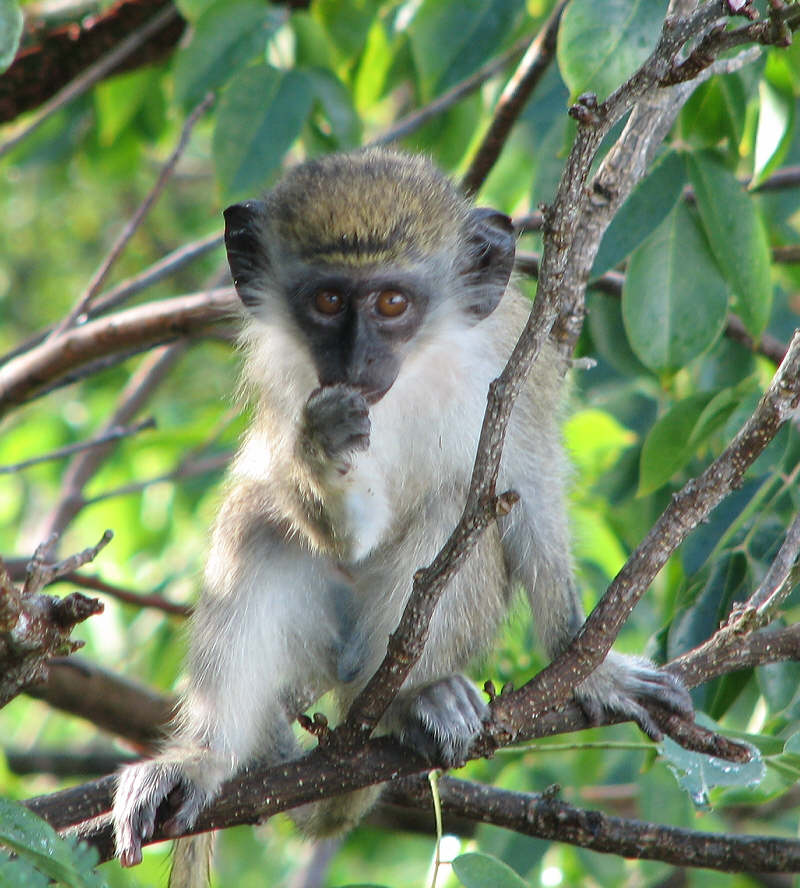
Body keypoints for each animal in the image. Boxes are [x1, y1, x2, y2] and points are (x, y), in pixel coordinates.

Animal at [113, 148, 693, 877]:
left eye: (392, 302)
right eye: (328, 300)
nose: (357, 360)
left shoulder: (509, 366)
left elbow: (527, 490)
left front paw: (586, 663)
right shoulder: (291, 382)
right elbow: (341, 529)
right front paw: (325, 450)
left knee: (457, 504)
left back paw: (414, 700)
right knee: (257, 519)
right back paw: (206, 756)